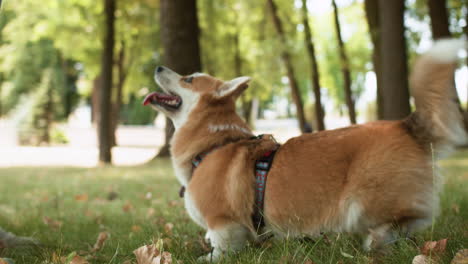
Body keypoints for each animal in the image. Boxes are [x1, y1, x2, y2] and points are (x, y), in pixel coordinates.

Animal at [144, 39, 468, 260]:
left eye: (188, 79)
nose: (157, 65)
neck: (214, 142)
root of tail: (406, 126)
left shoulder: (223, 224)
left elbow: (221, 249)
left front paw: (205, 258)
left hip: (362, 201)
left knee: (402, 221)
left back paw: (374, 243)